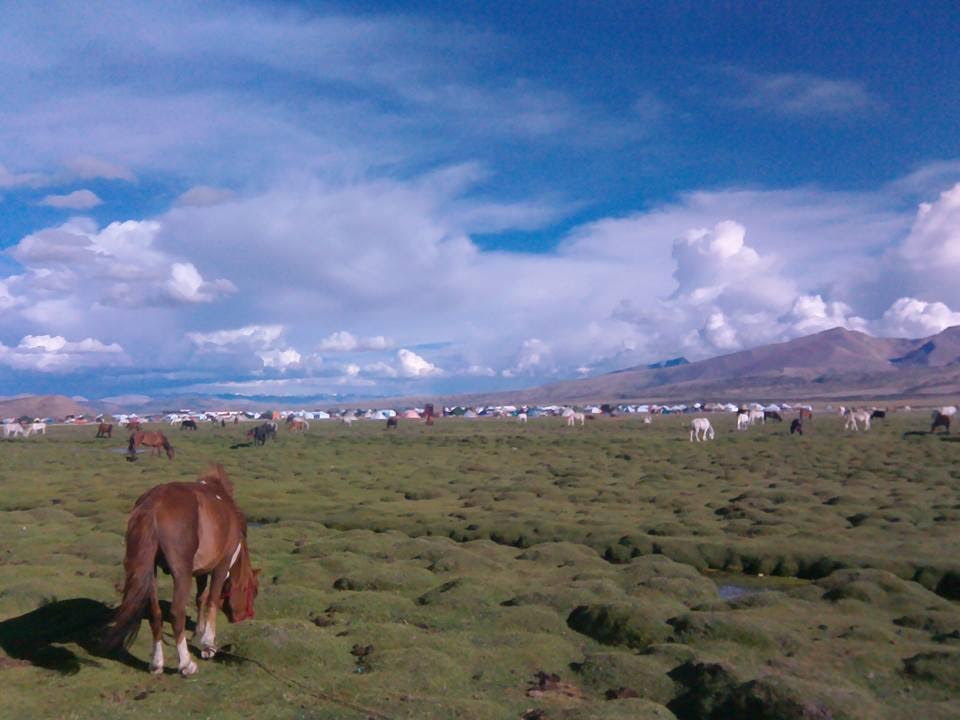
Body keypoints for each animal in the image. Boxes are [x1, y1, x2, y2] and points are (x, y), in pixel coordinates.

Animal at [102, 466, 258, 676]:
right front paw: (208, 644)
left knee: (155, 613)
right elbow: (212, 600)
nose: (243, 617)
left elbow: (201, 598)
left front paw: (199, 629)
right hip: (181, 574)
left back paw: (156, 663)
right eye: (253, 591)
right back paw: (186, 664)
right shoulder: (221, 564)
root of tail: (154, 503)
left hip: (150, 572)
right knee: (177, 613)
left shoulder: (201, 570)